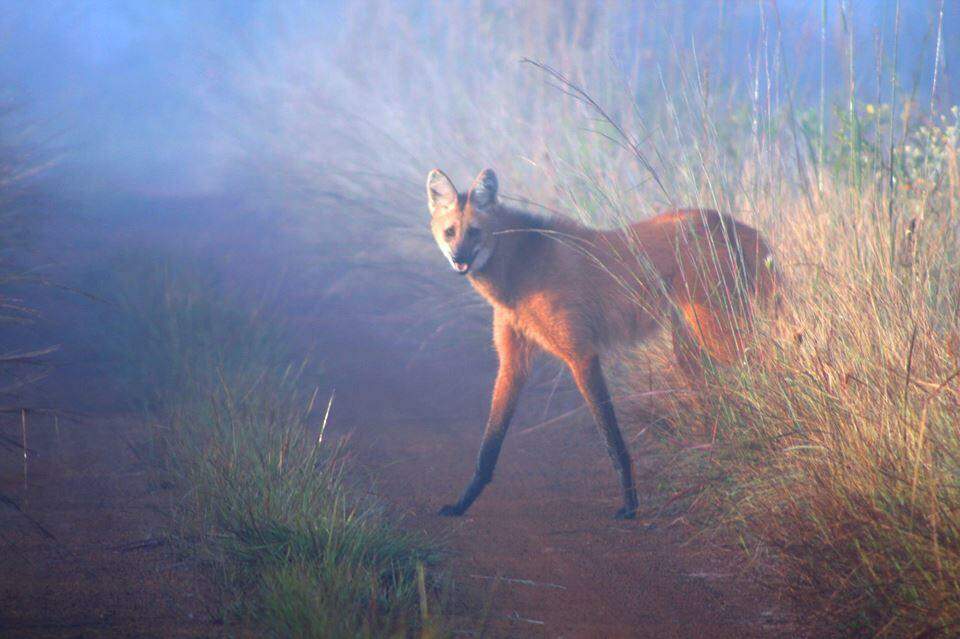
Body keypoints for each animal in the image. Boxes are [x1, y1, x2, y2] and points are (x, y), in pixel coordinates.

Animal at [428, 168, 780, 516]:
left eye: (474, 232)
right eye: (450, 232)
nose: (459, 258)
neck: (519, 270)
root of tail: (725, 221)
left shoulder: (581, 355)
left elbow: (612, 438)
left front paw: (630, 503)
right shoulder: (513, 363)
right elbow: (489, 447)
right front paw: (462, 503)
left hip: (717, 334)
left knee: (769, 357)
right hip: (691, 348)